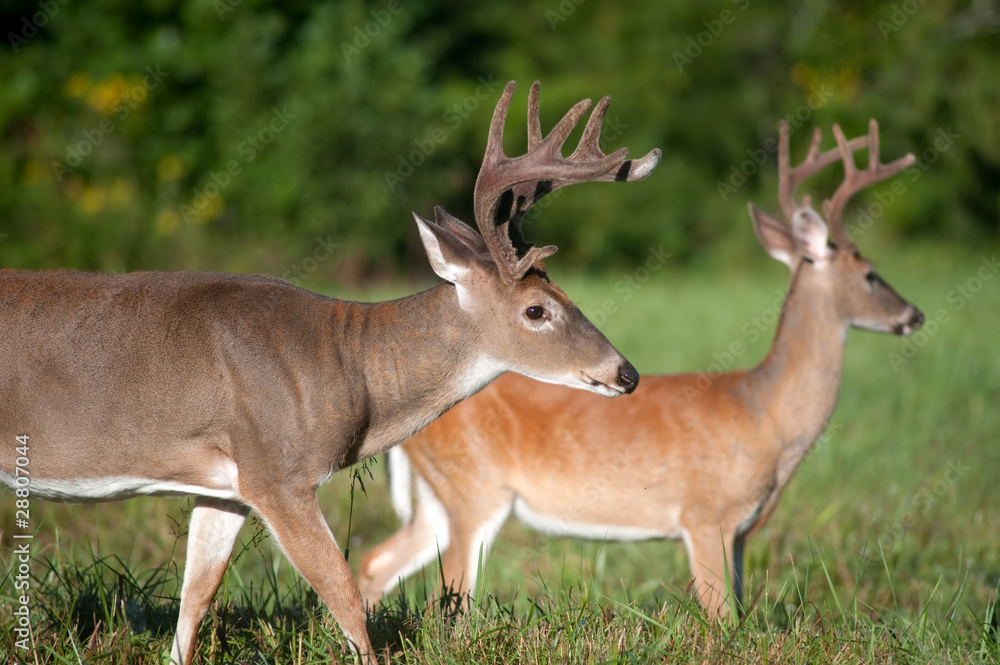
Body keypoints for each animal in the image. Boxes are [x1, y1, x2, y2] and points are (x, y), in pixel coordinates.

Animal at [0, 81, 660, 664]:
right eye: (536, 310)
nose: (626, 373)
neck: (349, 366)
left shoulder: (227, 485)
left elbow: (196, 599)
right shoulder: (279, 473)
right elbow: (345, 597)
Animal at [358, 119, 925, 616]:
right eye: (871, 275)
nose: (914, 314)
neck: (764, 415)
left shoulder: (741, 533)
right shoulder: (705, 516)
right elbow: (723, 619)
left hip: (438, 499)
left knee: (375, 562)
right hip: (473, 490)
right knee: (447, 595)